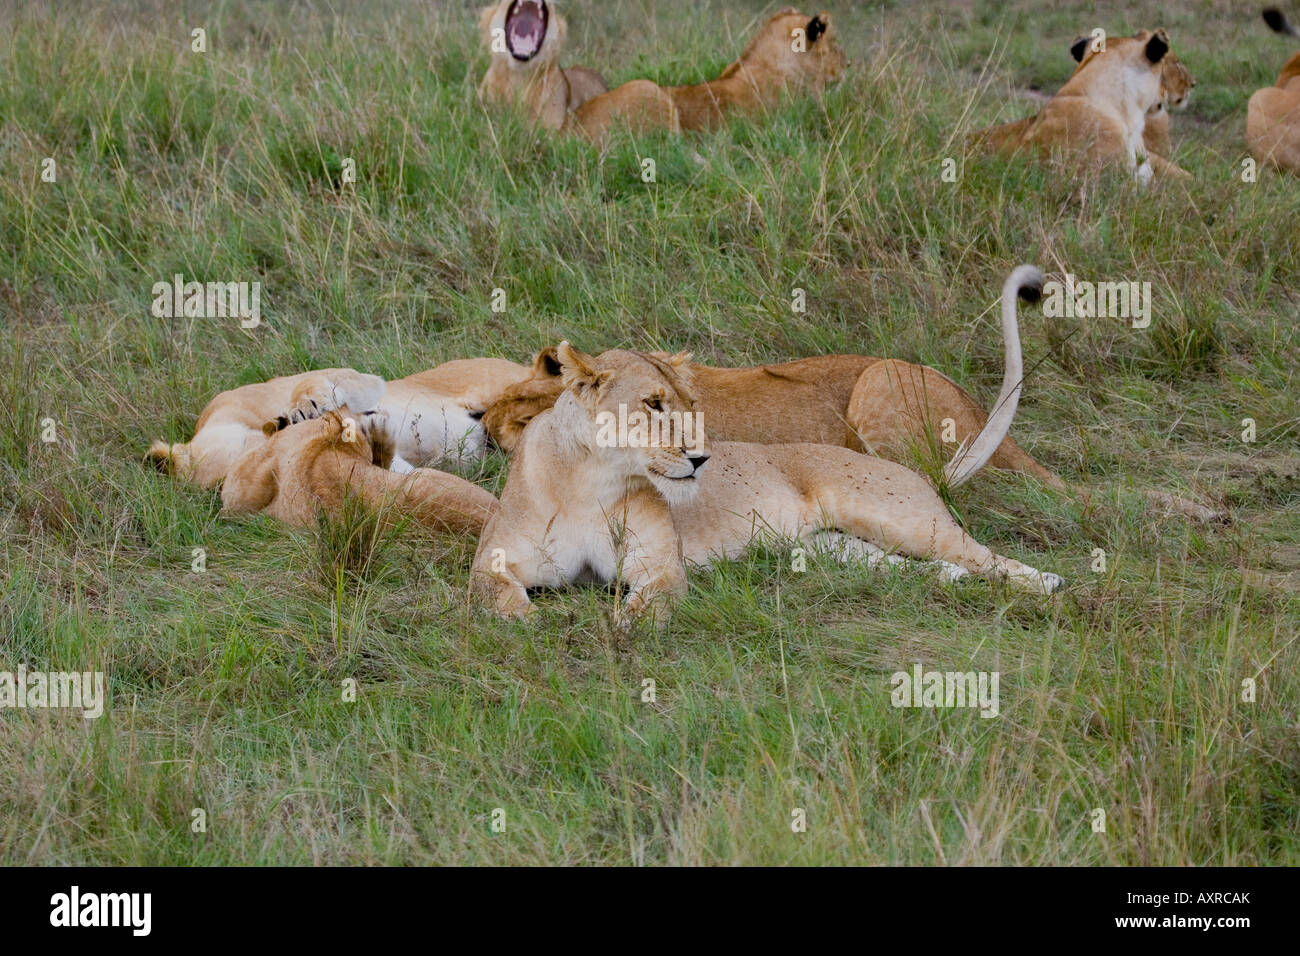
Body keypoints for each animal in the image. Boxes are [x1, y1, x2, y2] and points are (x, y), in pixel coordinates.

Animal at [470, 337, 1065, 627]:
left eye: (690, 403)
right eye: (653, 404)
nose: (703, 458)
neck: (588, 481)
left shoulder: (659, 566)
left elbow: (651, 603)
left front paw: (622, 623)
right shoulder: (493, 561)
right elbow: (495, 595)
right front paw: (527, 618)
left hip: (899, 513)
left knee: (983, 554)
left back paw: (1049, 584)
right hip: (837, 548)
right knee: (917, 566)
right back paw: (951, 581)